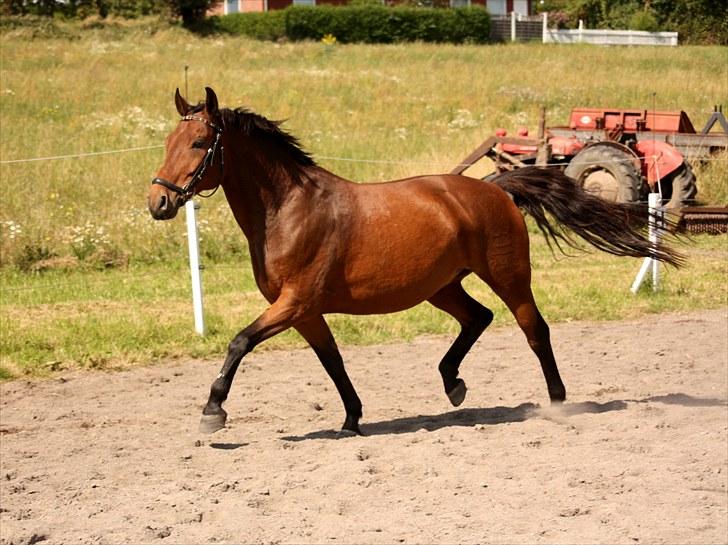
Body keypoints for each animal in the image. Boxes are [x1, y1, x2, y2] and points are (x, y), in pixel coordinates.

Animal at [149, 88, 684, 438]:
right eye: (168, 144)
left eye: (199, 144)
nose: (159, 202)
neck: (288, 209)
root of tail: (495, 188)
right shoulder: (304, 312)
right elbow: (332, 361)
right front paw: (352, 419)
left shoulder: (294, 302)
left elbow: (239, 342)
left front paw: (213, 410)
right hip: (441, 286)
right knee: (478, 318)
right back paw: (453, 384)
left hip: (508, 276)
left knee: (535, 329)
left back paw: (556, 402)